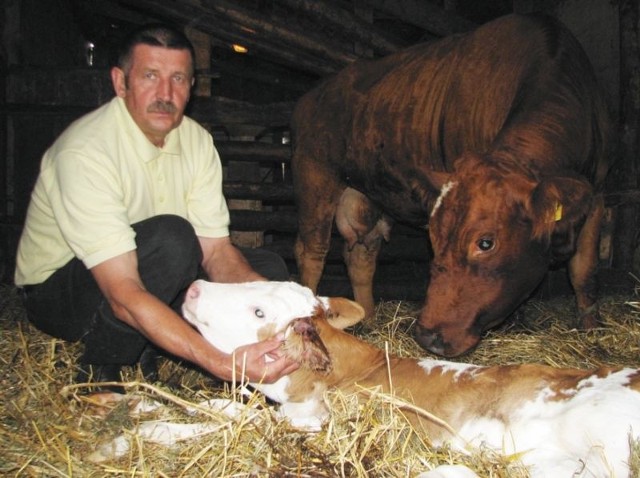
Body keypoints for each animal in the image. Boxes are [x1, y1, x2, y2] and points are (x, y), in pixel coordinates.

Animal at [290, 12, 608, 358]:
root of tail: (312, 94)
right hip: (314, 177)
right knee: (313, 251)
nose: (428, 336)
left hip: (366, 197)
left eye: (486, 243)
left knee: (361, 256)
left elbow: (585, 270)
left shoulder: (596, 196)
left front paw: (592, 330)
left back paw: (369, 319)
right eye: (433, 235)